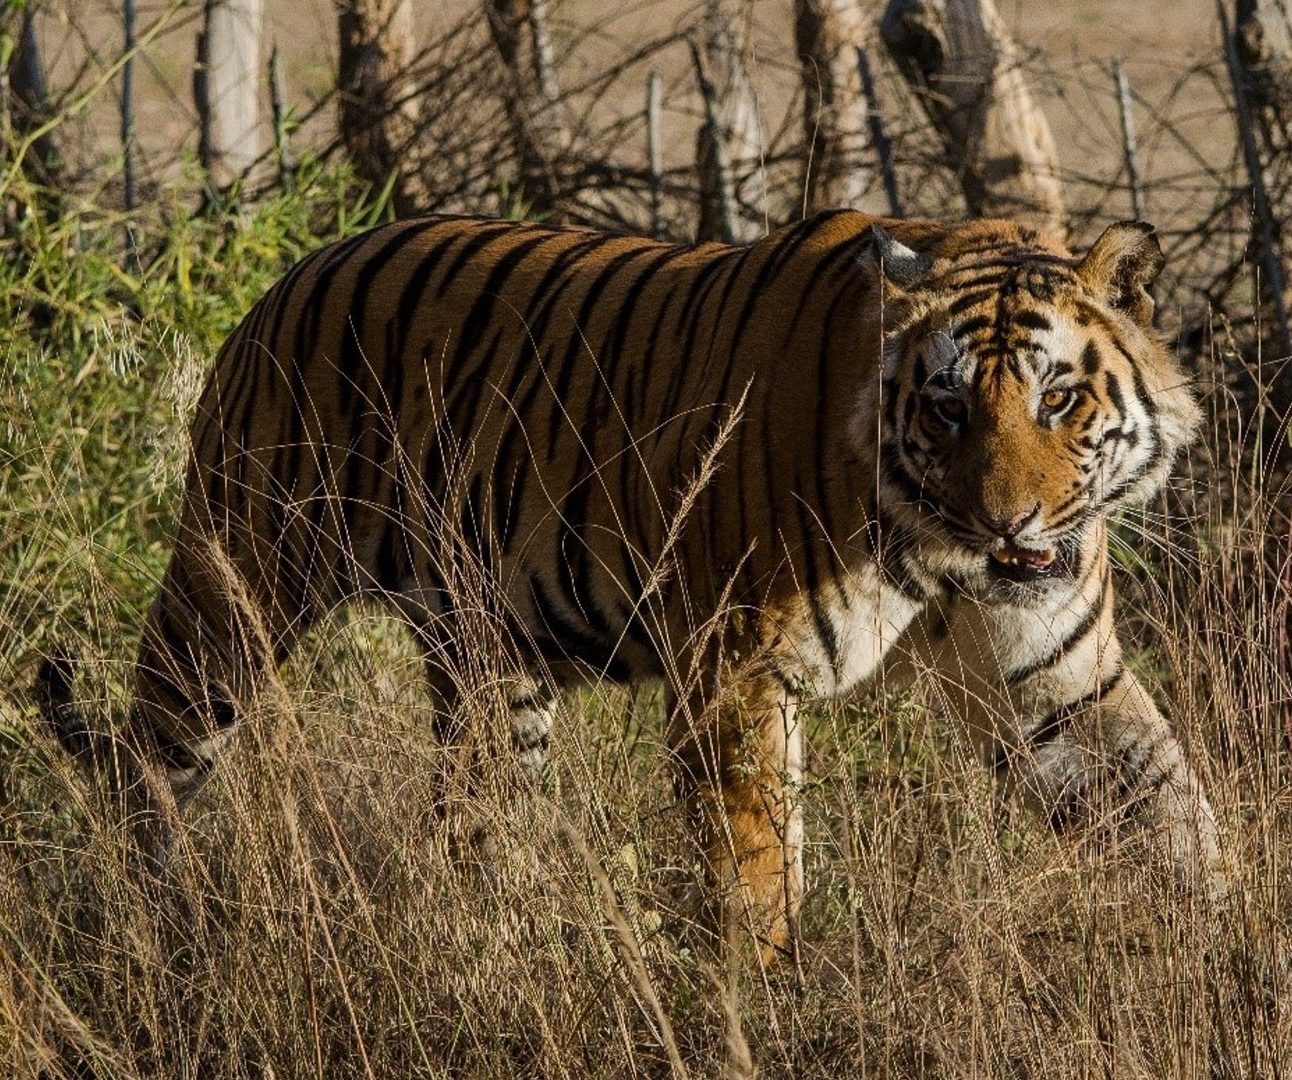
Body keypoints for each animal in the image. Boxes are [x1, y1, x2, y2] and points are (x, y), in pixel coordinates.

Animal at [40, 209, 1224, 961]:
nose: (1005, 521)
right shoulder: (734, 669)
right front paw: (757, 1004)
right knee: (151, 766)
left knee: (470, 833)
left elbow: (1170, 813)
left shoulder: (1059, 682)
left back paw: (495, 953)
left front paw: (1228, 957)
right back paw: (144, 930)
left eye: (1059, 397)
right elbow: (755, 871)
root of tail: (288, 275)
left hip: (492, 673)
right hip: (232, 589)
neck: (942, 555)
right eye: (944, 408)